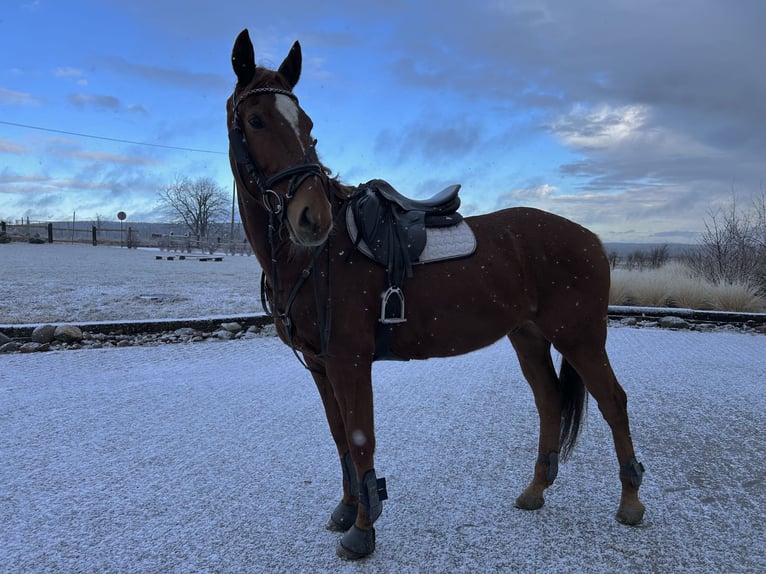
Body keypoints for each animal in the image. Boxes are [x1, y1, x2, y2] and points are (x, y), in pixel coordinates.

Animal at [228, 28, 648, 564]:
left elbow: (361, 441)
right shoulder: (322, 367)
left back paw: (631, 501)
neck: (314, 258)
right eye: (256, 119)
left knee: (614, 402)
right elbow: (340, 439)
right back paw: (535, 490)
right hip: (529, 337)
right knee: (550, 401)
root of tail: (592, 238)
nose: (311, 216)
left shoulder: (349, 361)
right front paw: (347, 510)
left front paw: (363, 530)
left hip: (581, 338)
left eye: (307, 125)